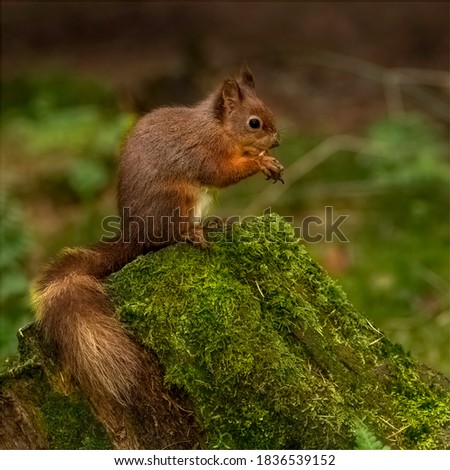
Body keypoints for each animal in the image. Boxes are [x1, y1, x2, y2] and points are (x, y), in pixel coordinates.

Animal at [33, 67, 284, 408]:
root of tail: (135, 233)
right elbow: (220, 173)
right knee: (166, 238)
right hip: (175, 201)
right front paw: (260, 160)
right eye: (254, 123)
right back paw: (193, 234)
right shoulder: (202, 153)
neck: (217, 128)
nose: (278, 140)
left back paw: (214, 223)